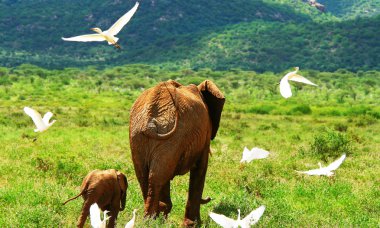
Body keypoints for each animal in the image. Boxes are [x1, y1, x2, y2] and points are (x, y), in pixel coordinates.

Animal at [131, 79, 226, 225]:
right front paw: (194, 224)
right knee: (157, 176)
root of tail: (150, 120)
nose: (209, 198)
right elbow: (201, 168)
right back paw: (152, 220)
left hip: (139, 136)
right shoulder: (205, 135)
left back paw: (152, 219)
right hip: (172, 137)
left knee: (146, 175)